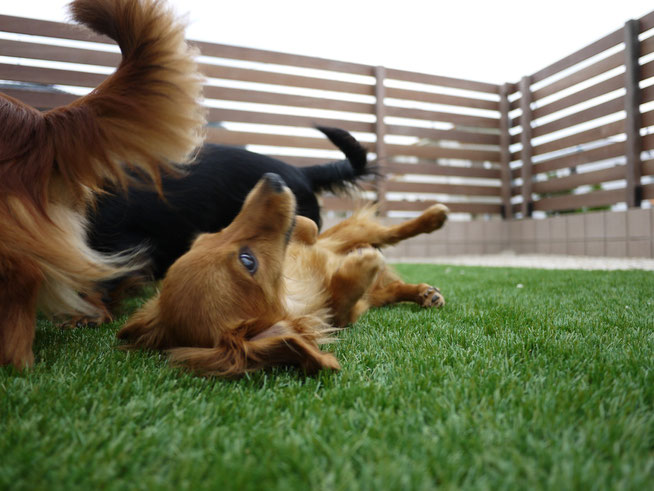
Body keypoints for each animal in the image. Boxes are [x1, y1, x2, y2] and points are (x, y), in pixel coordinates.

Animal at [119, 173, 452, 376]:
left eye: (205, 239)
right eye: (247, 261)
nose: (272, 178)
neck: (293, 287)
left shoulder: (320, 239)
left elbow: (310, 228)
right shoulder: (341, 315)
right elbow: (343, 299)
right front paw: (361, 265)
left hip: (353, 232)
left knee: (387, 233)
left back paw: (432, 223)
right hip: (373, 288)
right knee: (387, 286)